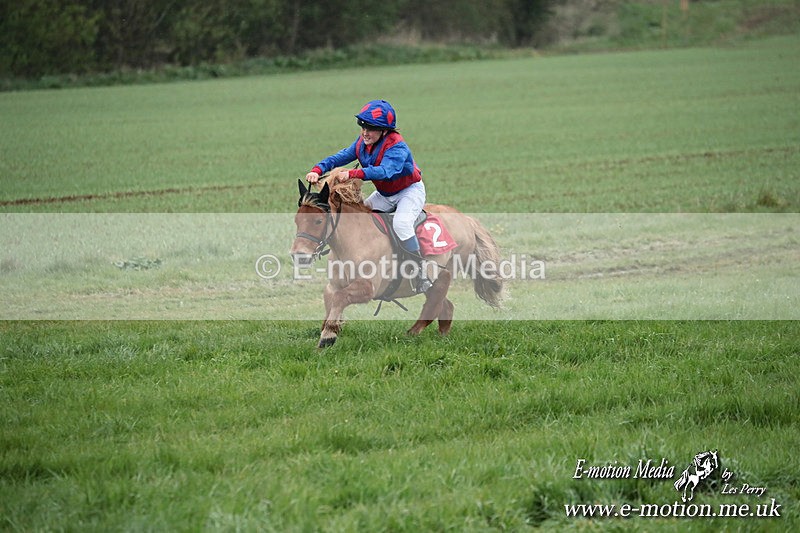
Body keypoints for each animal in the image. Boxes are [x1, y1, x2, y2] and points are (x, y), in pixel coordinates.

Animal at [290, 176, 503, 348]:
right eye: (297, 220)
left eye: (318, 221)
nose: (299, 255)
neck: (355, 240)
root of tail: (466, 220)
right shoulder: (333, 285)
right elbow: (331, 300)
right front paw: (330, 330)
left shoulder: (368, 288)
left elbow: (340, 298)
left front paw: (328, 335)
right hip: (434, 283)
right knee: (446, 308)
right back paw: (441, 338)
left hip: (442, 275)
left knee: (433, 307)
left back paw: (410, 334)